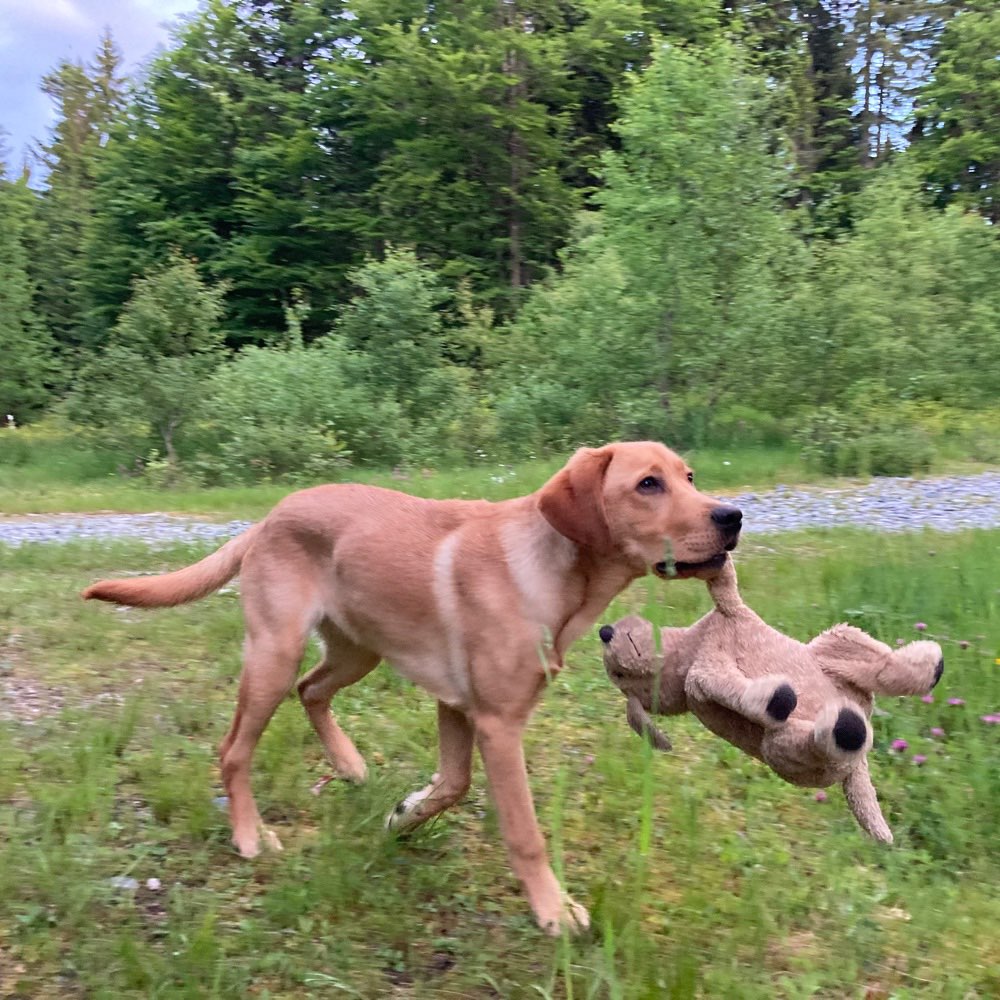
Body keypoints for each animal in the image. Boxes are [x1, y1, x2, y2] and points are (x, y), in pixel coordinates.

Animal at [86, 442, 740, 932]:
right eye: (648, 485)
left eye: (689, 477)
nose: (731, 516)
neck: (551, 573)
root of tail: (269, 518)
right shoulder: (498, 723)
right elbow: (524, 833)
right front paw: (554, 911)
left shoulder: (456, 704)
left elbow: (450, 786)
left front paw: (403, 816)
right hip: (274, 652)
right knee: (234, 749)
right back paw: (250, 836)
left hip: (359, 650)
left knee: (312, 691)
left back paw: (348, 764)